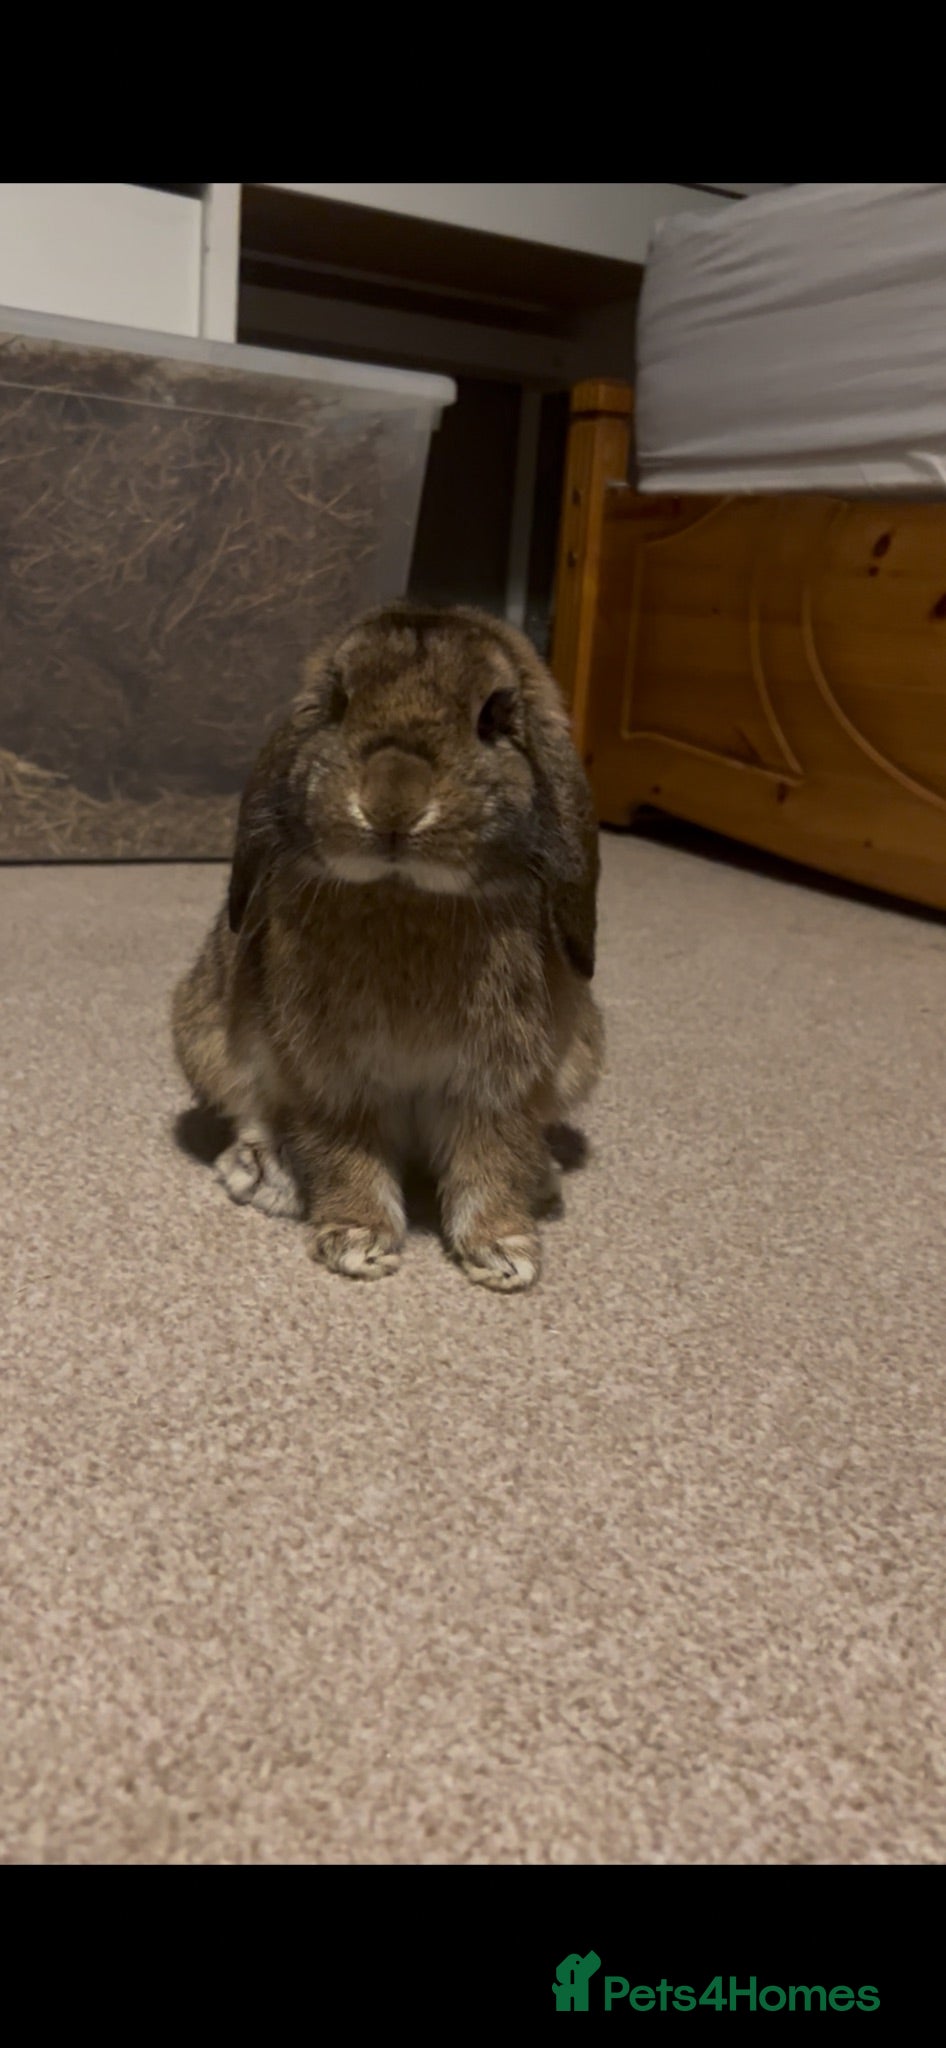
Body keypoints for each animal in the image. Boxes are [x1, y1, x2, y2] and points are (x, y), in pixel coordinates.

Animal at [171, 603, 604, 1292]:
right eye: (339, 703)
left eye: (493, 715)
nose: (392, 800)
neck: (408, 893)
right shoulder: (333, 1079)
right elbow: (345, 1151)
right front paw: (358, 1243)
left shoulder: (499, 1082)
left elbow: (490, 1158)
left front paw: (505, 1255)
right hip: (205, 1035)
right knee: (253, 1109)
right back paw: (266, 1175)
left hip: (580, 1056)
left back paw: (542, 1180)